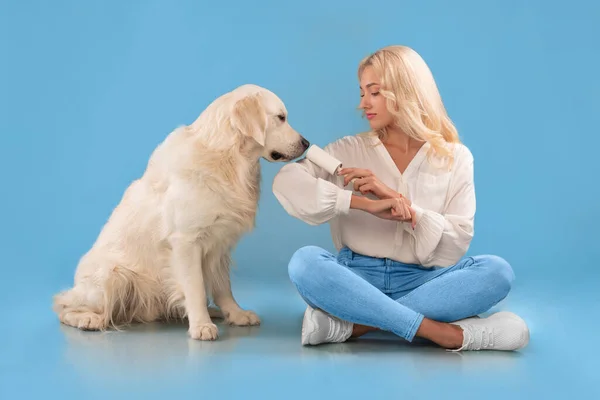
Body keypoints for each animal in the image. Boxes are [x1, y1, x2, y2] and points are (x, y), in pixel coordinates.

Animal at [52, 84, 310, 340]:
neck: (228, 160)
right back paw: (87, 319)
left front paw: (235, 314)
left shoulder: (220, 245)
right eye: (281, 118)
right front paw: (201, 326)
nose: (306, 143)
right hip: (112, 275)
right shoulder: (186, 242)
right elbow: (195, 288)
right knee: (64, 305)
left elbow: (223, 287)